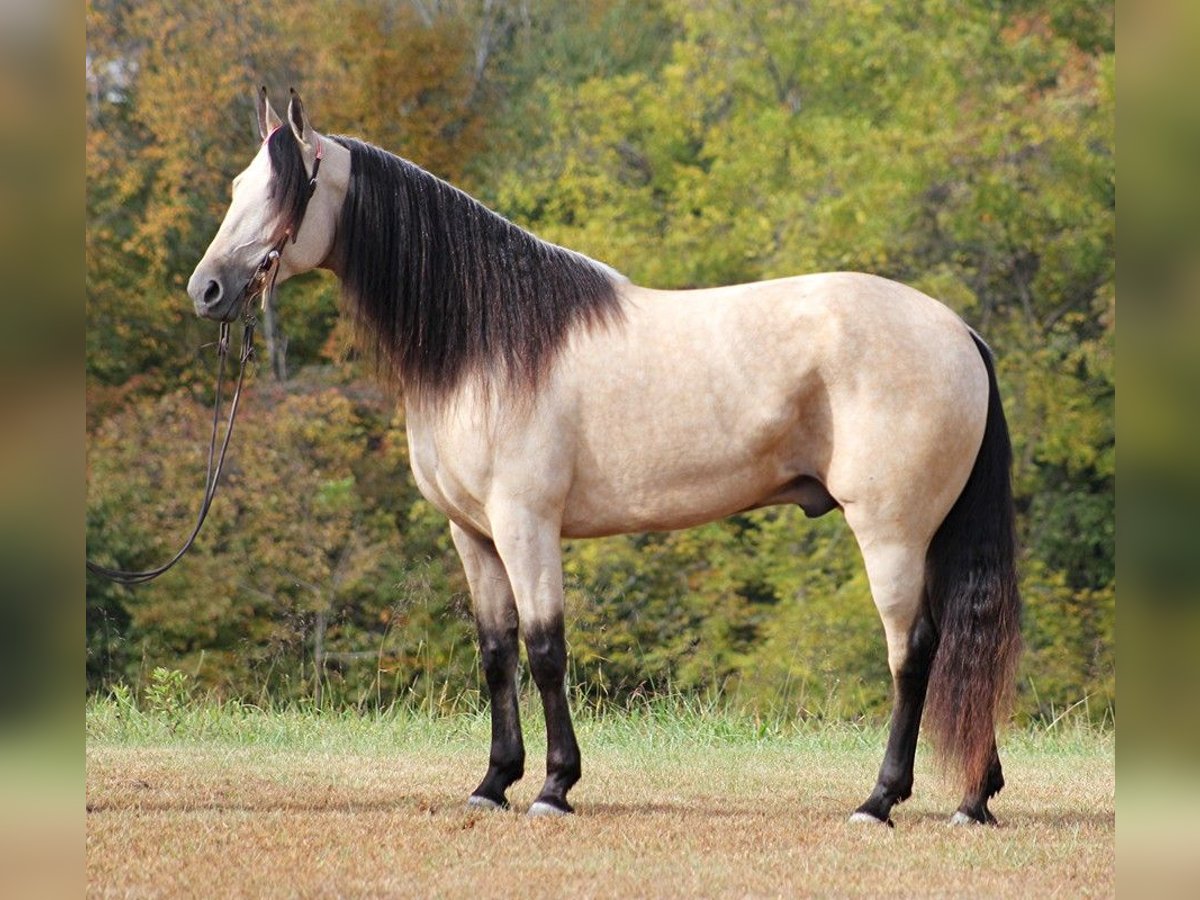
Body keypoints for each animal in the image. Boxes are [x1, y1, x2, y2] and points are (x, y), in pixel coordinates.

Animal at [189, 88, 1022, 830]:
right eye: (237, 186)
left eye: (286, 188)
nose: (207, 290)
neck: (489, 344)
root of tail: (961, 334)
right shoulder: (473, 534)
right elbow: (497, 653)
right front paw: (493, 783)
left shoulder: (525, 524)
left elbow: (546, 649)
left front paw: (554, 788)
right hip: (928, 535)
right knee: (959, 646)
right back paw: (972, 800)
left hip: (892, 533)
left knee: (913, 653)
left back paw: (879, 801)